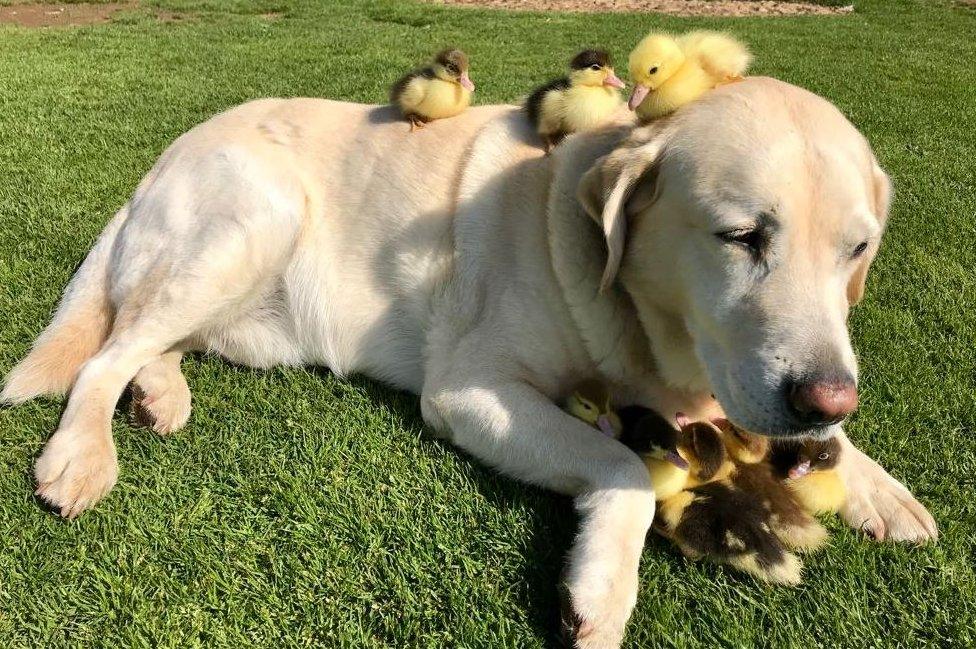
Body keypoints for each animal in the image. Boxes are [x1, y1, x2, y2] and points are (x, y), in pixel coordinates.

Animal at [5, 78, 936, 644]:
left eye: (858, 251)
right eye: (741, 236)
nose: (826, 399)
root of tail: (159, 161)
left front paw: (880, 486)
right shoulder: (470, 389)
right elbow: (624, 467)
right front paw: (600, 589)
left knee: (149, 342)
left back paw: (160, 393)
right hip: (257, 214)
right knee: (106, 353)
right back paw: (82, 454)